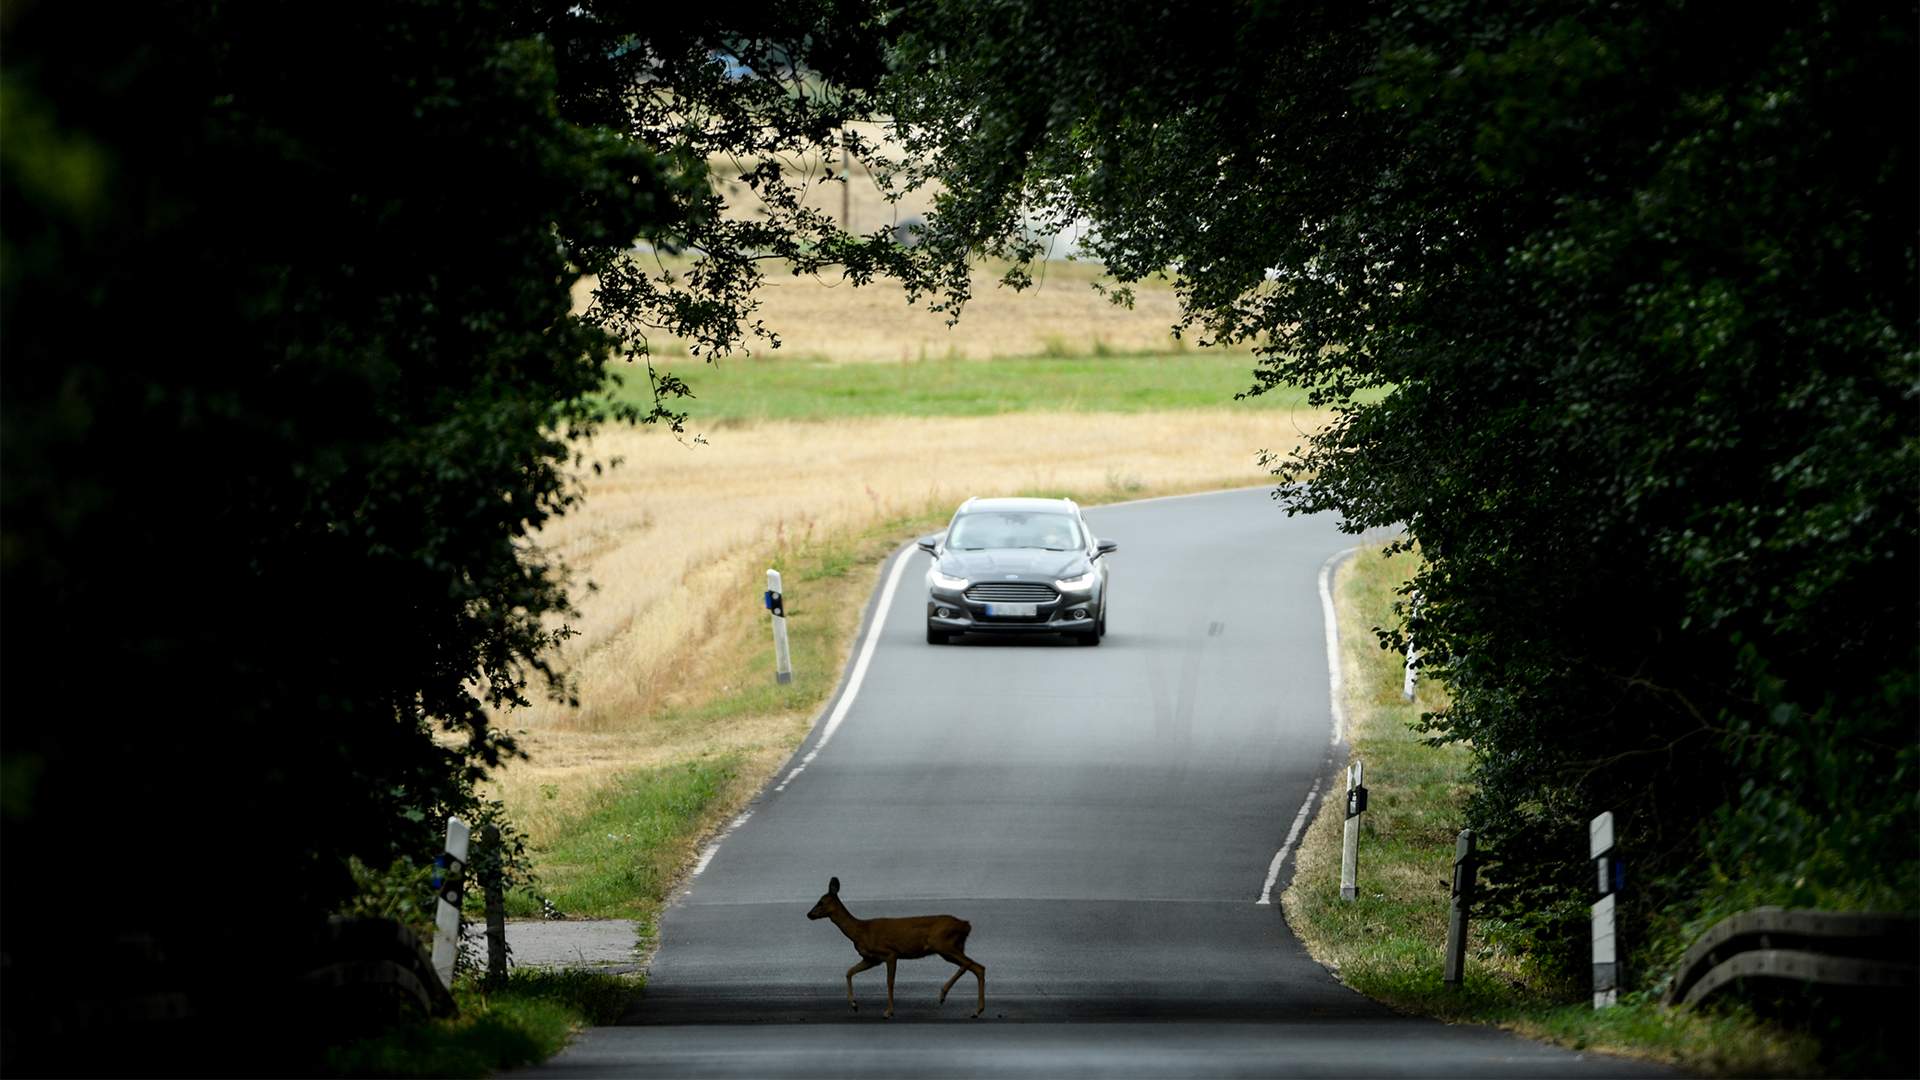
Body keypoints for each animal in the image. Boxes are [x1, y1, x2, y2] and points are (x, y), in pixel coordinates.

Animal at [810, 868, 990, 1014]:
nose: (809, 914)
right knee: (977, 967)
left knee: (970, 964)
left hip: (944, 944)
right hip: (952, 948)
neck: (860, 931)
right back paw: (974, 1009)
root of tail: (966, 924)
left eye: (821, 902)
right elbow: (849, 972)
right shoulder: (871, 959)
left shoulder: (890, 953)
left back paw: (946, 996)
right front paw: (854, 1005)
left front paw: (888, 1012)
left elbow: (889, 982)